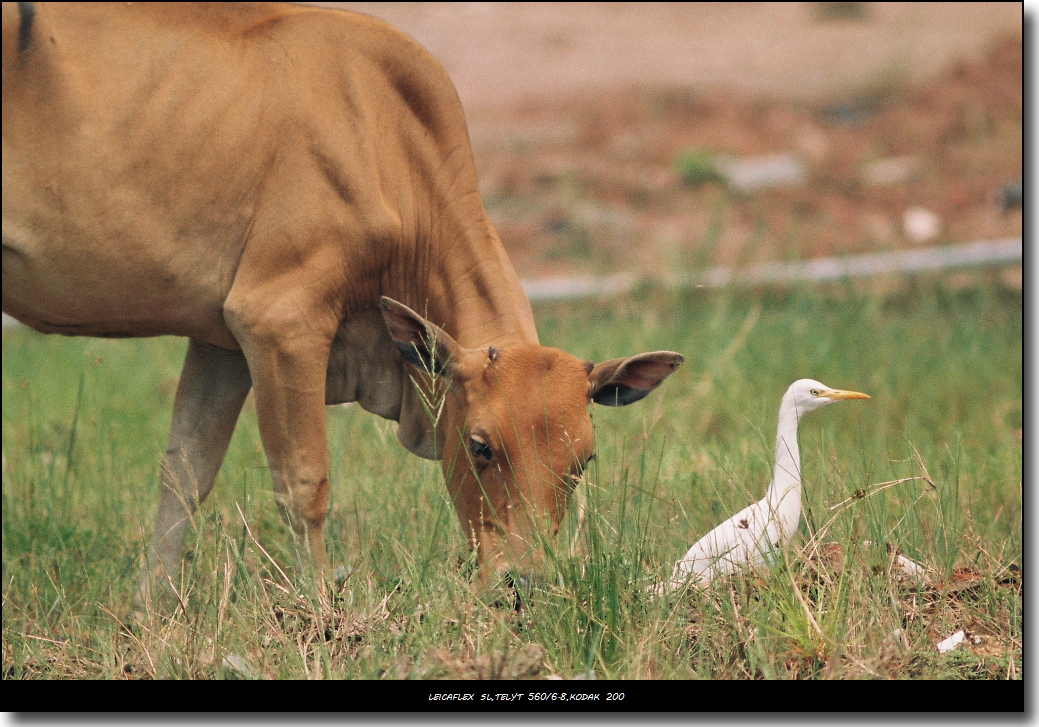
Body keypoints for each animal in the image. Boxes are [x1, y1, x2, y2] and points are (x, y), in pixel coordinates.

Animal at [4, 4, 685, 614]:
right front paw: (319, 614)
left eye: (583, 460)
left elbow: (184, 475)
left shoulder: (223, 343)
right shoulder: (279, 321)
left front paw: (148, 616)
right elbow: (303, 484)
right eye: (480, 446)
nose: (525, 585)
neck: (385, 140)